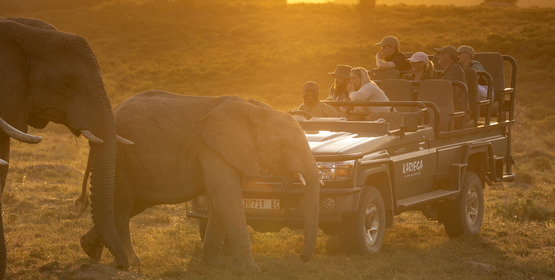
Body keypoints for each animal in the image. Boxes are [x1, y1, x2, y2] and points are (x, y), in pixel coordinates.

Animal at [76, 91, 324, 272]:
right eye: (283, 146)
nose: (302, 258)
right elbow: (226, 198)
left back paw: (89, 249)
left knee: (129, 203)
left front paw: (211, 266)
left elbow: (219, 201)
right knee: (122, 204)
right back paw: (132, 261)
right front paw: (252, 271)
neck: (255, 111)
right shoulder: (213, 148)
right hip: (121, 155)